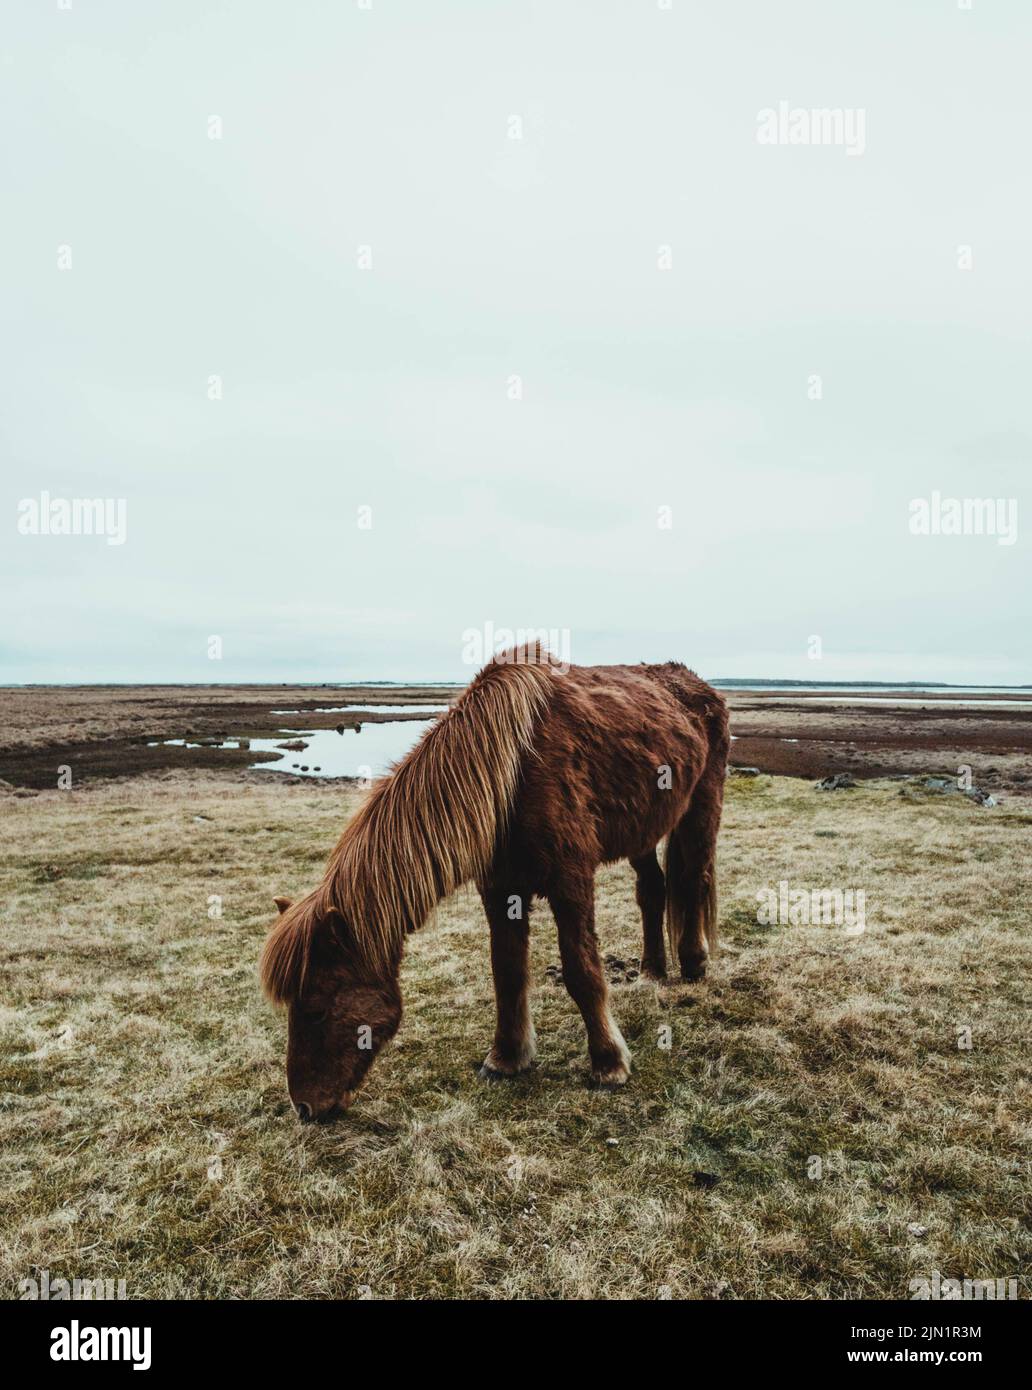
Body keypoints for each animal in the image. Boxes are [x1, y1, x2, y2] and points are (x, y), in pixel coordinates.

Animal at [264, 647, 734, 1117]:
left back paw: (694, 962)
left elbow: (581, 970)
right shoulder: (500, 890)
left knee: (694, 879)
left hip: (701, 806)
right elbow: (506, 971)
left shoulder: (571, 881)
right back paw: (652, 972)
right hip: (644, 829)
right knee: (652, 891)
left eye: (316, 1009)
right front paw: (507, 1058)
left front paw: (608, 1063)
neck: (512, 769)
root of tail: (700, 687)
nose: (304, 1108)